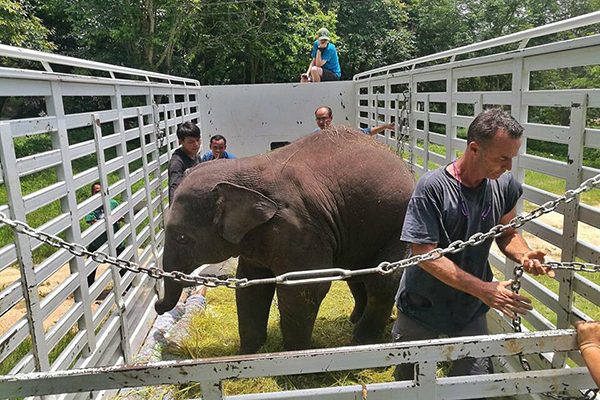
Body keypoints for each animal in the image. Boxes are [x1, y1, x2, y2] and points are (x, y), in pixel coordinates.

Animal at [157, 126, 414, 354]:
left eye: (182, 238)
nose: (158, 306)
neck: (244, 172)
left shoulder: (299, 229)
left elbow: (304, 287)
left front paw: (295, 357)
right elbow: (251, 284)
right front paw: (248, 352)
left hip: (399, 223)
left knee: (383, 279)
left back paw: (361, 339)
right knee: (357, 274)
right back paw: (354, 320)